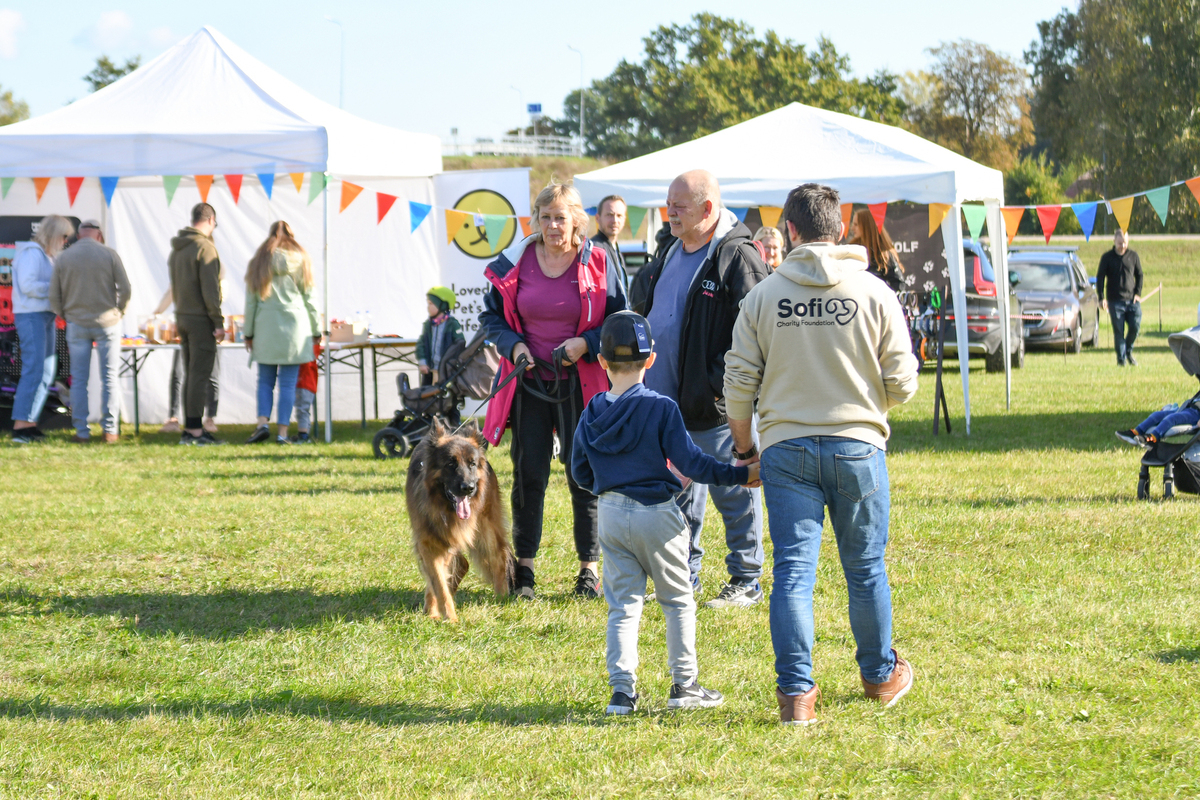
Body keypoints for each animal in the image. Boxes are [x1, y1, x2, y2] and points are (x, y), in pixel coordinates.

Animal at [405, 419, 513, 623]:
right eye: (450, 463)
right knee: (462, 564)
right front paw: (439, 613)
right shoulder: (431, 542)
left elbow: (438, 581)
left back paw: (502, 598)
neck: (442, 505)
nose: (468, 488)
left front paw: (443, 615)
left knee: (499, 557)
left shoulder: (447, 541)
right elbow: (438, 583)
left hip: (486, 529)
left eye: (472, 464)